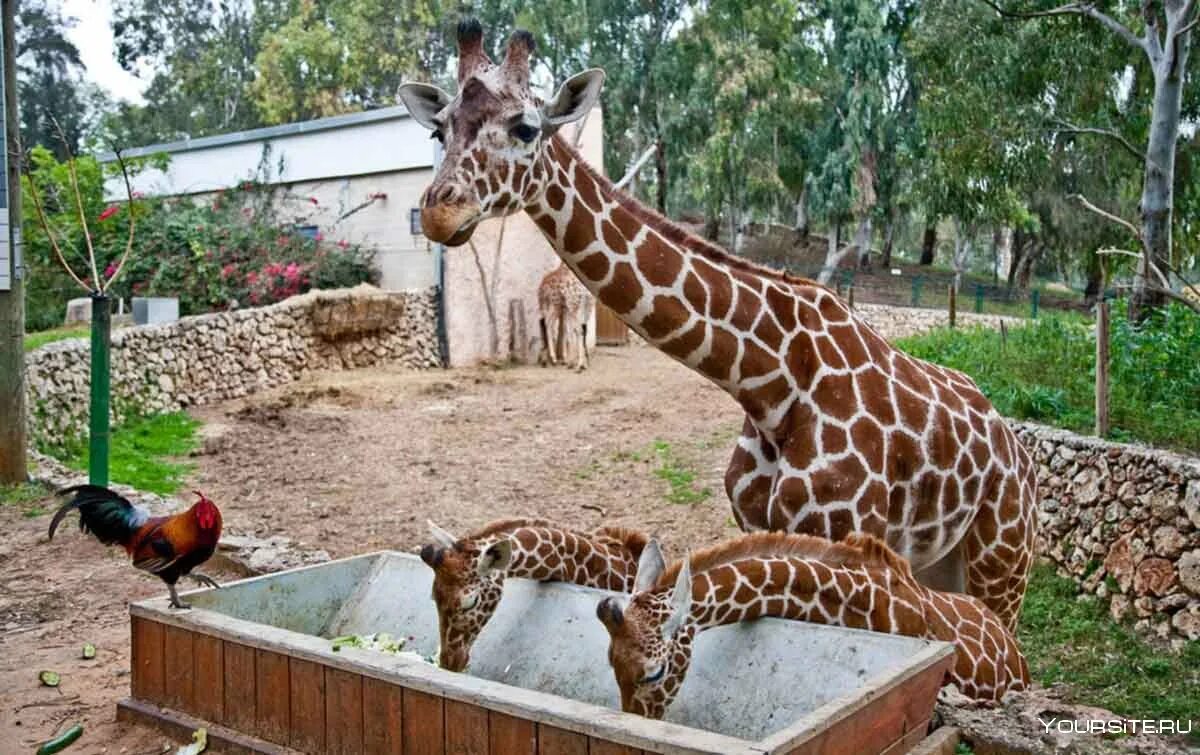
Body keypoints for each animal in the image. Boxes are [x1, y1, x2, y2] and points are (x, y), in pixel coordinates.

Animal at [398, 20, 1036, 628]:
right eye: (439, 130)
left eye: (527, 127)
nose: (439, 212)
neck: (770, 384)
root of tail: (1015, 447)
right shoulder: (762, 527)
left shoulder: (843, 531)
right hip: (935, 560)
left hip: (1003, 562)